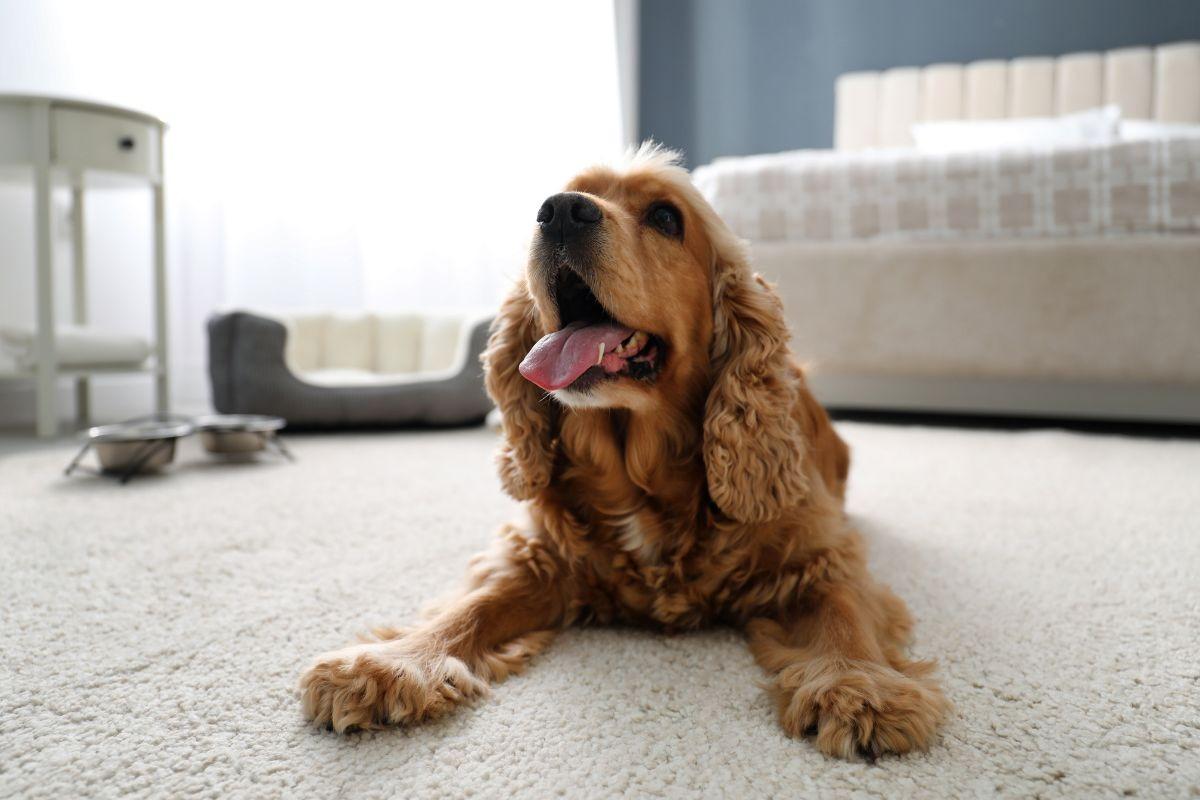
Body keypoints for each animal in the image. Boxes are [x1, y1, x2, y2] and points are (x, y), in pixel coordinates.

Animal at [300, 145, 945, 762]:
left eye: (665, 217)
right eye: (568, 193)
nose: (560, 210)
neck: (638, 472)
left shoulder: (818, 552)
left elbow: (843, 614)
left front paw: (858, 687)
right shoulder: (537, 556)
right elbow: (472, 608)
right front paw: (393, 663)